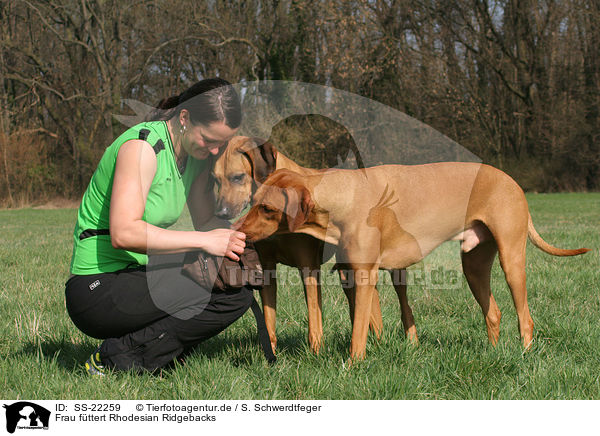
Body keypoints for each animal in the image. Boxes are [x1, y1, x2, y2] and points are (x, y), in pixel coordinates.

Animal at [211, 137, 390, 354]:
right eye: (216, 179)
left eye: (237, 177)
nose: (220, 213)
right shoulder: (267, 266)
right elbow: (269, 319)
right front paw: (269, 353)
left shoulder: (308, 267)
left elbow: (314, 318)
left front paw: (316, 353)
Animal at [236, 165, 592, 360]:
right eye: (253, 202)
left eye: (267, 209)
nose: (238, 230)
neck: (345, 196)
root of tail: (513, 182)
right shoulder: (352, 276)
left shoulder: (365, 277)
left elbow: (358, 332)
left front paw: (353, 365)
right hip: (474, 265)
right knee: (493, 312)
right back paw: (493, 352)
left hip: (511, 259)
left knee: (525, 318)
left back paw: (525, 355)